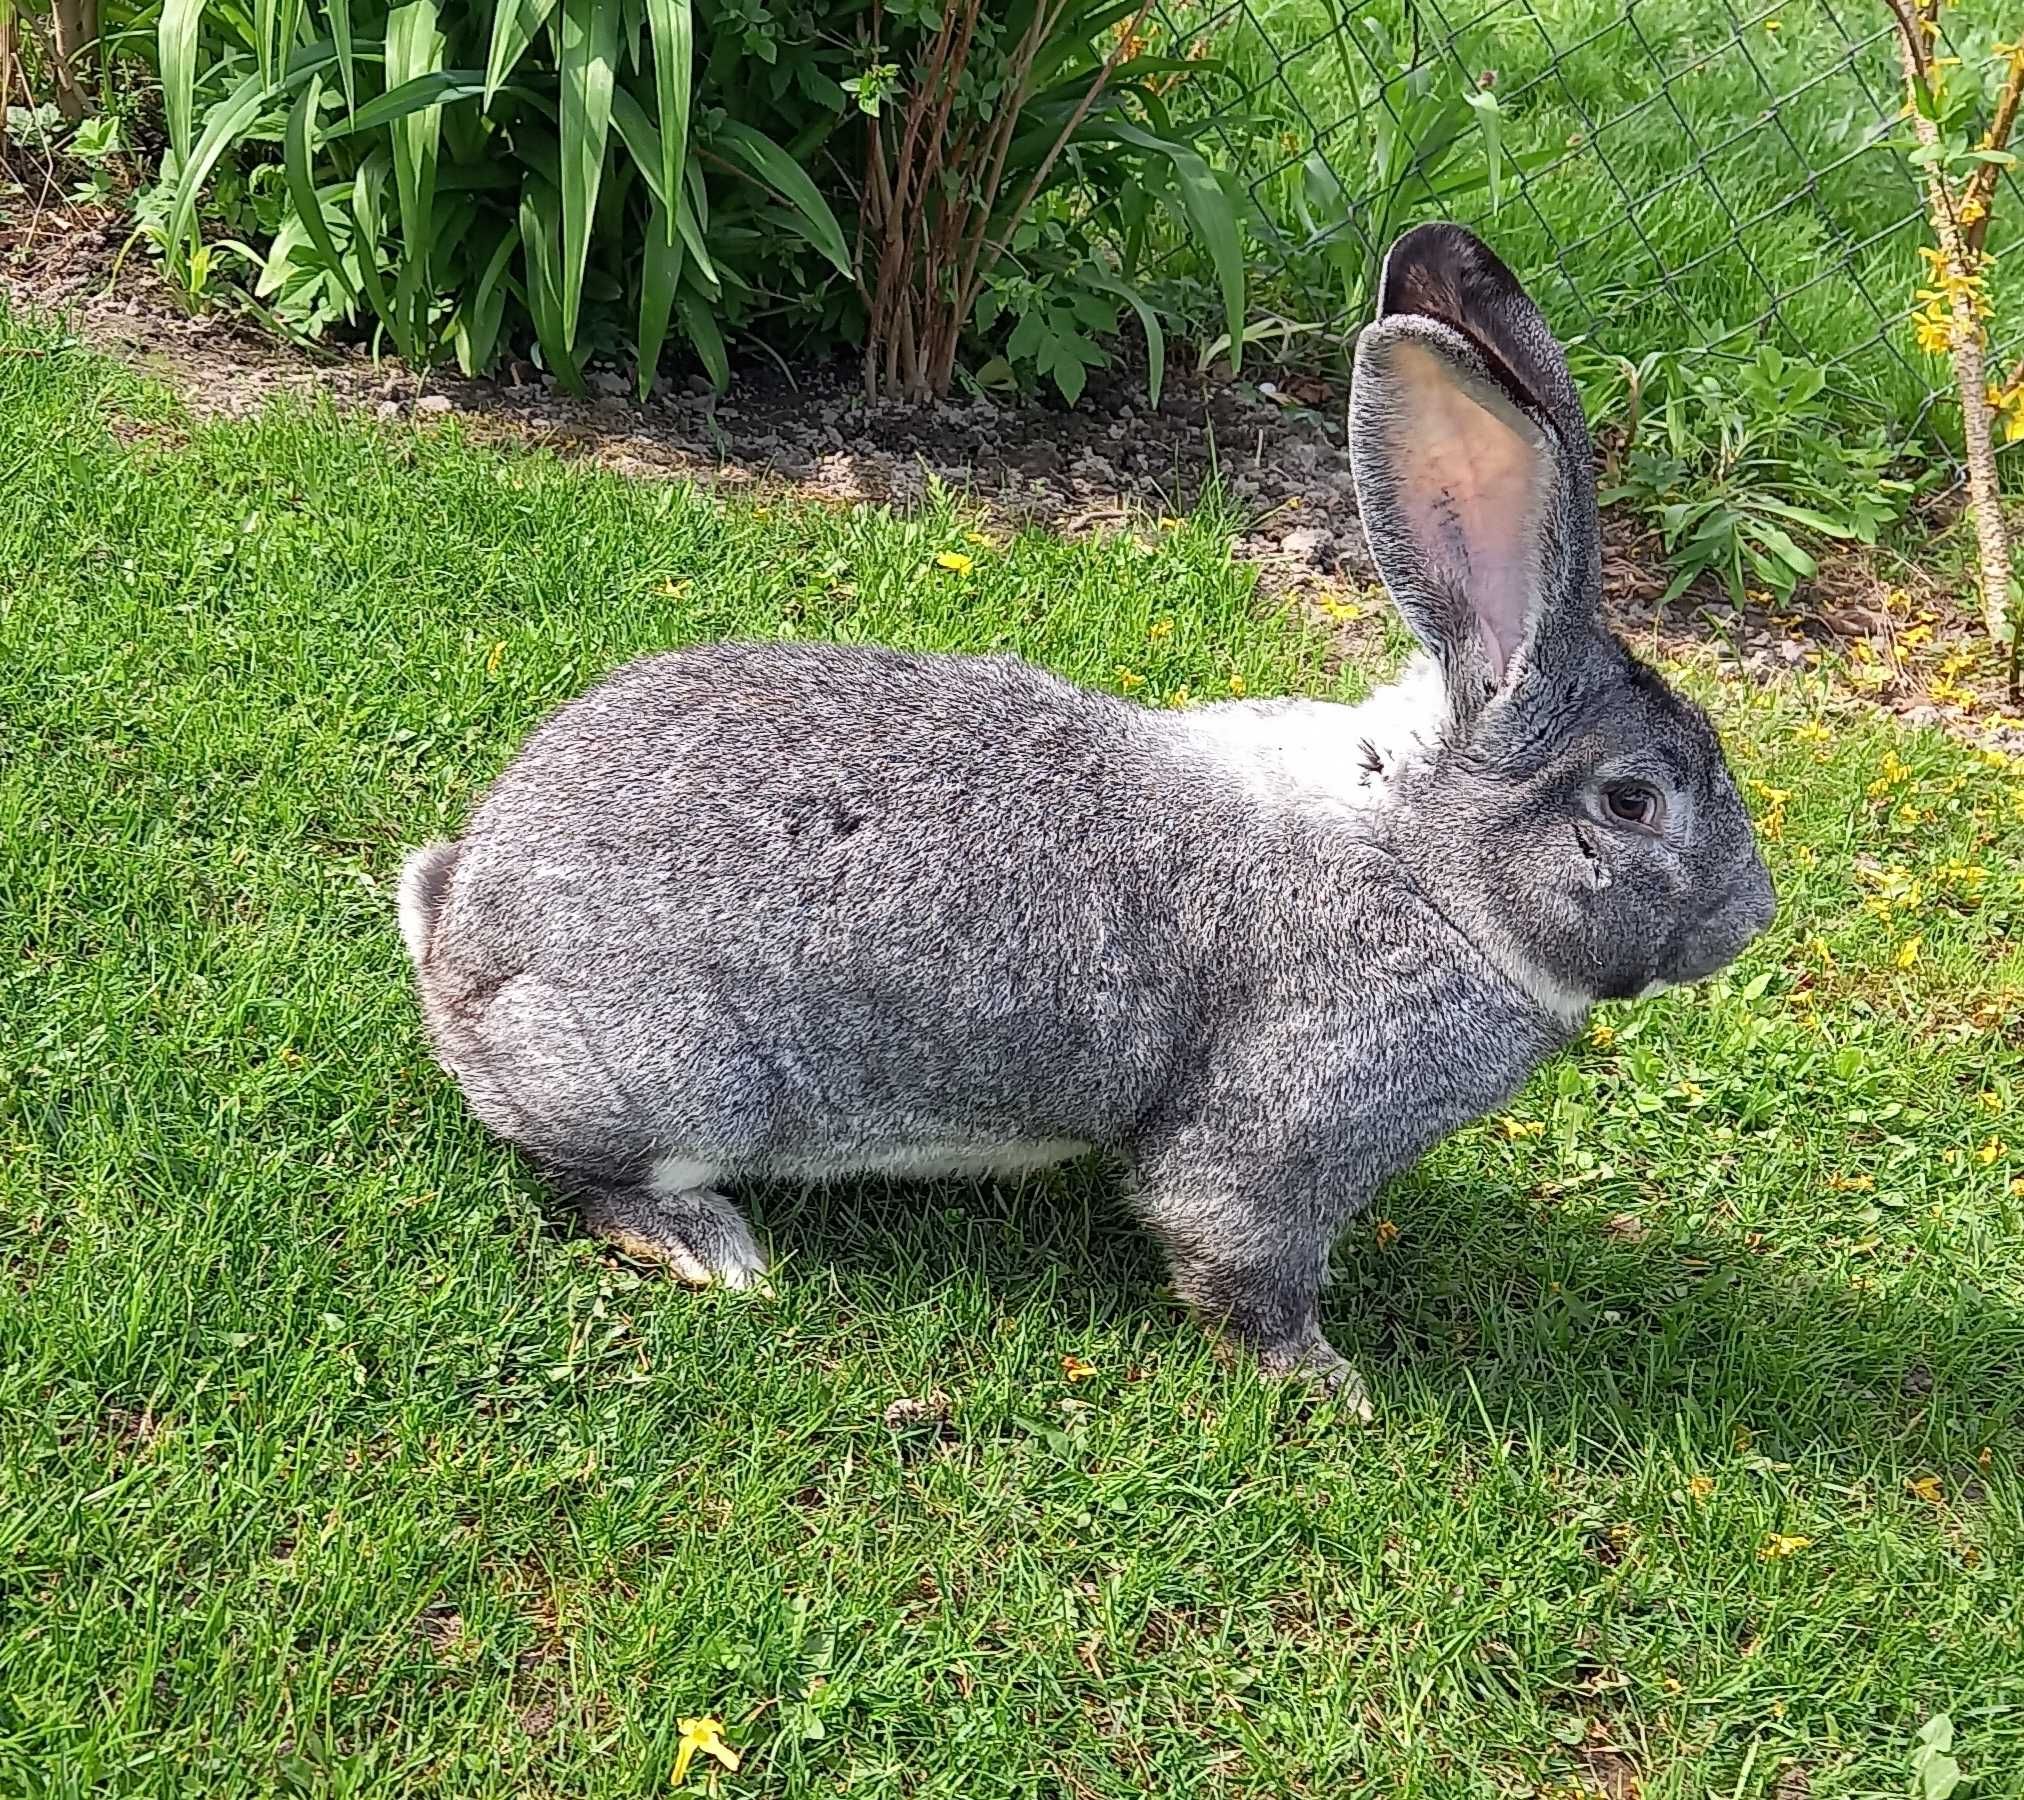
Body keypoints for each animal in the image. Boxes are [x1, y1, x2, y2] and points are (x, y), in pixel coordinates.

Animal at [398, 221, 1773, 1401]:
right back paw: (702, 1243)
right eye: (1633, 800)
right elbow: (1236, 1251)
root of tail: (458, 930)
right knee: (579, 1169)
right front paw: (1322, 1381)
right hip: (676, 1081)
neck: (1425, 862)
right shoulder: (1281, 1135)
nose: (1750, 918)